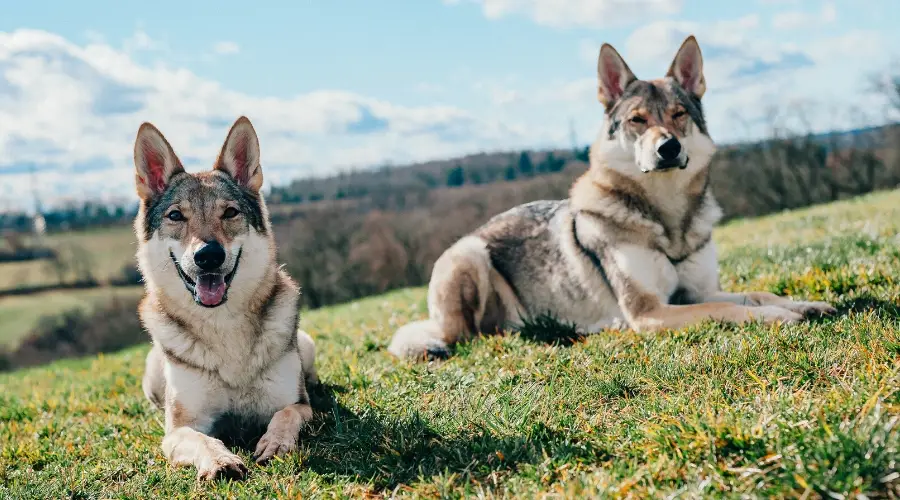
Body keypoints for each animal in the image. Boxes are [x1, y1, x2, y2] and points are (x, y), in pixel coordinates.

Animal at [132, 117, 318, 480]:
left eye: (230, 212)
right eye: (176, 216)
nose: (208, 255)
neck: (223, 327)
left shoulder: (299, 405)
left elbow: (286, 414)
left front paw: (275, 443)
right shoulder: (179, 430)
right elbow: (202, 439)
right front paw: (220, 461)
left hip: (306, 343)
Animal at [386, 36, 836, 364]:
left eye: (678, 114)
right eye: (638, 120)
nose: (668, 148)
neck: (667, 220)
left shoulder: (697, 292)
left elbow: (756, 294)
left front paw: (805, 304)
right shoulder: (650, 312)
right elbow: (731, 311)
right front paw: (778, 316)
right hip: (468, 255)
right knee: (473, 335)